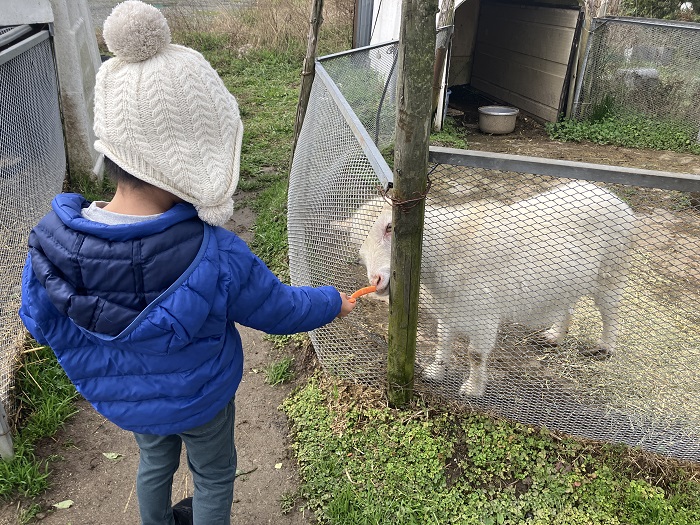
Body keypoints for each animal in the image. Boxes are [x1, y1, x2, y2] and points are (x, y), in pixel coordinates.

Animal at [336, 182, 636, 396]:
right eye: (359, 249)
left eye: (390, 228)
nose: (376, 281)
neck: (447, 250)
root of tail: (612, 196)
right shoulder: (449, 307)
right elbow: (443, 340)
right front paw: (436, 371)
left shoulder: (483, 313)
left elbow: (476, 355)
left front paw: (473, 388)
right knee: (568, 304)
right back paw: (554, 335)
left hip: (611, 271)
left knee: (611, 311)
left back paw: (605, 347)